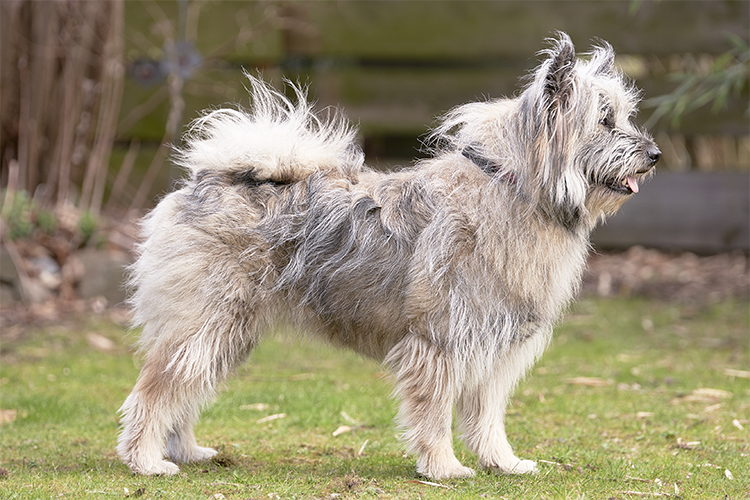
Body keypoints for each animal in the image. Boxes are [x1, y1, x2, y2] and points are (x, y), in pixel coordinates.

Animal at [116, 33, 656, 478]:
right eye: (605, 120)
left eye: (623, 117)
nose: (654, 155)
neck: (515, 188)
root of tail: (210, 177)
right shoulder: (439, 344)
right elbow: (435, 414)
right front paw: (443, 468)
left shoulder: (493, 352)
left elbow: (487, 417)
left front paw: (501, 462)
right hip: (204, 326)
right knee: (154, 392)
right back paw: (146, 460)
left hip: (225, 333)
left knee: (183, 391)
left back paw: (184, 451)